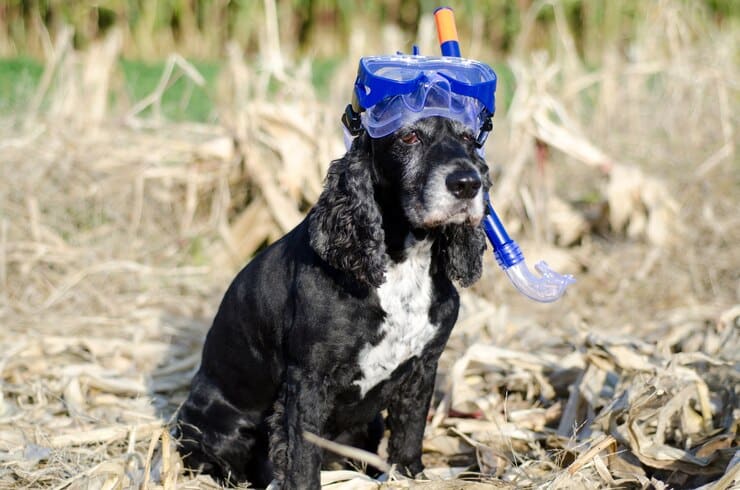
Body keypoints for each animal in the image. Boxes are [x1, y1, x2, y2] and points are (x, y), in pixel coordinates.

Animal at [173, 115, 492, 486]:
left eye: (469, 138)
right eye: (410, 137)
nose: (467, 184)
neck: (403, 263)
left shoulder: (423, 368)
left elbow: (410, 432)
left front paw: (410, 475)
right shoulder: (309, 378)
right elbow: (303, 452)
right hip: (219, 429)